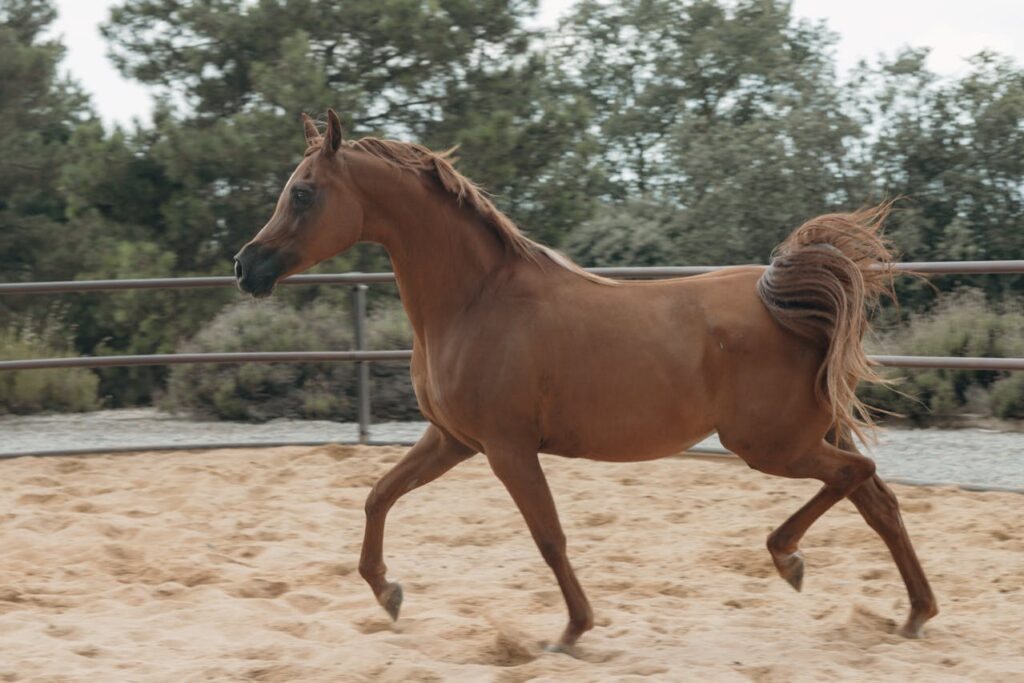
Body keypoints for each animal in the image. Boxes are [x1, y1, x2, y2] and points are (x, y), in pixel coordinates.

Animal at [234, 109, 937, 650]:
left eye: (303, 192)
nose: (245, 266)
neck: (474, 301)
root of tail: (782, 297)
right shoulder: (452, 440)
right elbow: (378, 496)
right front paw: (389, 594)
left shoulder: (508, 449)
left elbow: (548, 536)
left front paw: (573, 631)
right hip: (807, 437)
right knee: (878, 500)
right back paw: (913, 614)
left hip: (771, 446)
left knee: (859, 478)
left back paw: (790, 559)